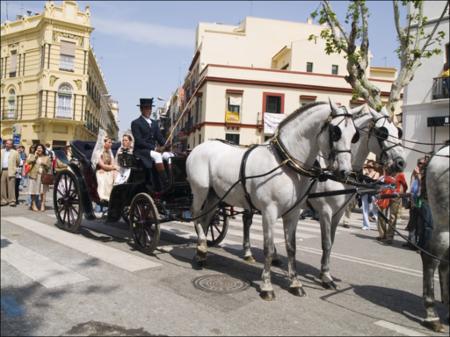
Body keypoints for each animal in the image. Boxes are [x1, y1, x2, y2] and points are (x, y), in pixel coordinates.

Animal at [185, 100, 358, 300]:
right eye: (335, 132)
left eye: (354, 135)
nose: (345, 172)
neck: (285, 163)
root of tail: (198, 147)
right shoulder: (270, 211)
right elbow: (268, 247)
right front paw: (267, 286)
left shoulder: (294, 213)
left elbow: (291, 247)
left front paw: (295, 283)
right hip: (200, 191)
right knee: (196, 216)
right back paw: (201, 247)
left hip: (215, 195)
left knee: (206, 220)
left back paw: (201, 253)